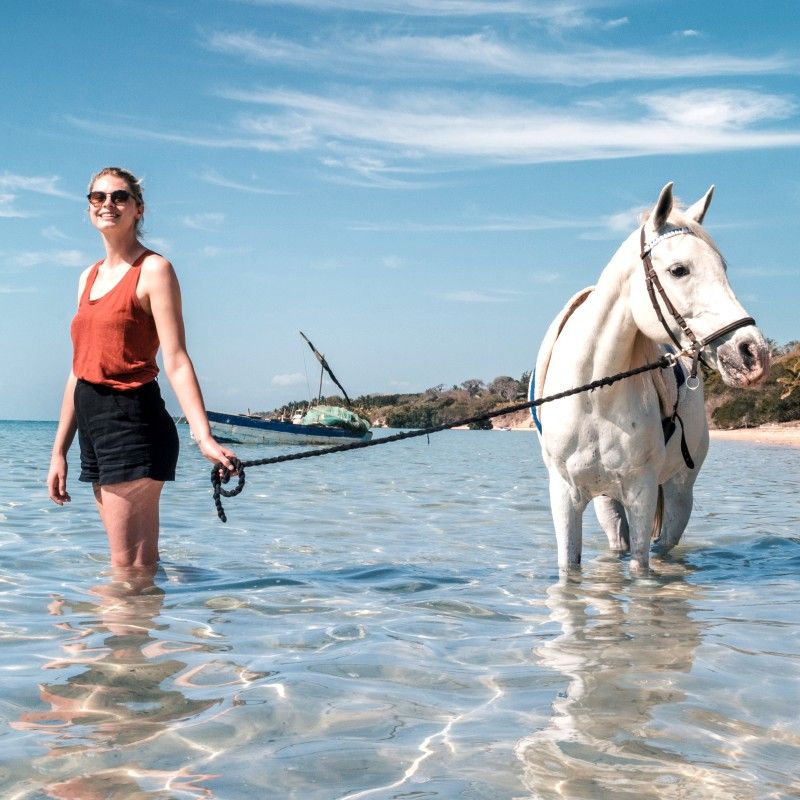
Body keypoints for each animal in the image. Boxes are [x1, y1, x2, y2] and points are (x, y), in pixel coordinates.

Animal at [531, 182, 770, 573]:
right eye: (679, 270)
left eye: (722, 267)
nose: (753, 353)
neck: (594, 396)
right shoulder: (565, 496)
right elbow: (570, 571)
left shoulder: (641, 493)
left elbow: (642, 569)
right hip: (607, 502)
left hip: (679, 493)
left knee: (665, 546)